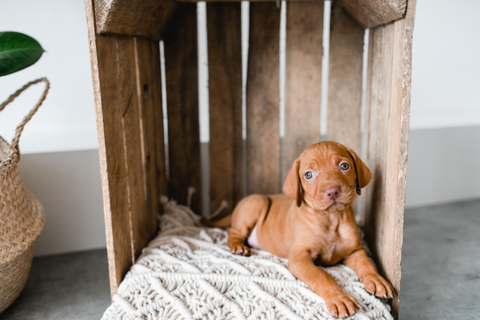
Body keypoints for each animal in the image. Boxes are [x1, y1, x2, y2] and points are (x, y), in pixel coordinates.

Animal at [202, 142, 394, 318]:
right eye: (308, 174)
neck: (331, 219)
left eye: (344, 166)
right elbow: (321, 276)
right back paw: (239, 247)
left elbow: (366, 263)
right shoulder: (299, 259)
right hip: (257, 203)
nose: (332, 191)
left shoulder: (354, 250)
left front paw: (376, 279)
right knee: (233, 232)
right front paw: (339, 298)